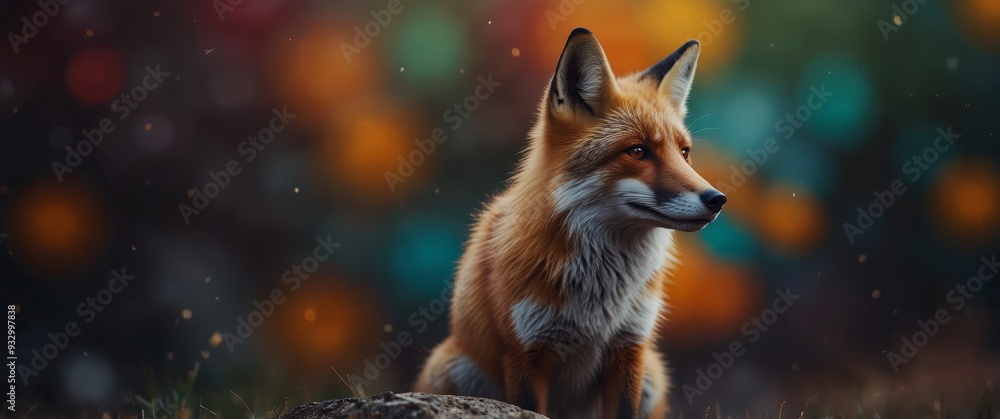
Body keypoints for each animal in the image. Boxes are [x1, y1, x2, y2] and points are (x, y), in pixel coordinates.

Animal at [414, 28, 727, 419]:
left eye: (684, 153)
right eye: (638, 151)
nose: (717, 199)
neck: (599, 299)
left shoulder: (629, 350)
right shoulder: (525, 353)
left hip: (653, 376)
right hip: (451, 367)